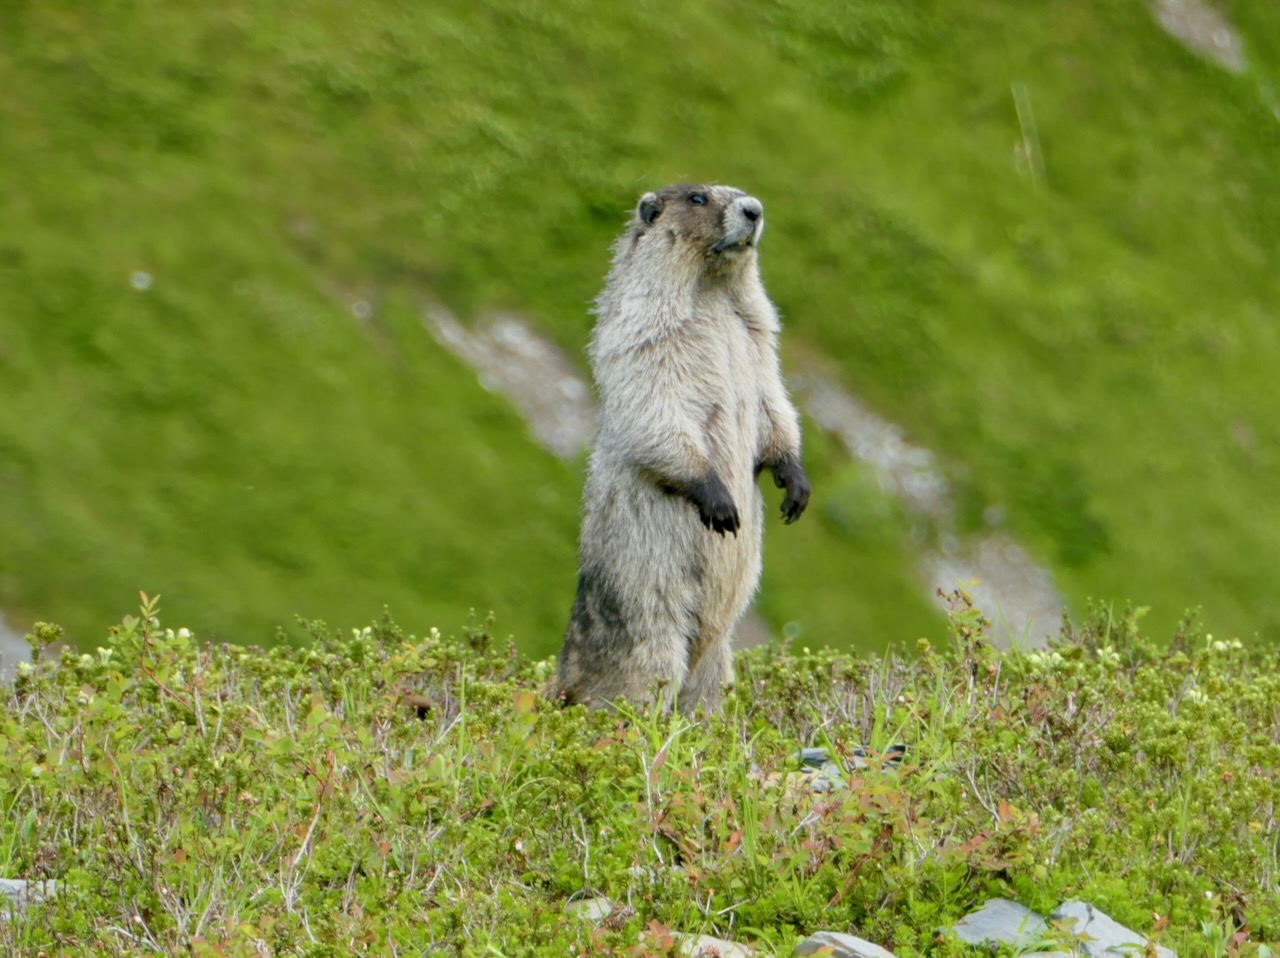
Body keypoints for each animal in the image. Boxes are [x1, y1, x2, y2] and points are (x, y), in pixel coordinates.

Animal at [555, 184, 810, 714]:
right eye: (697, 197)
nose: (755, 209)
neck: (713, 290)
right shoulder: (642, 330)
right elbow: (654, 401)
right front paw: (719, 500)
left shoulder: (761, 337)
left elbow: (772, 400)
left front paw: (795, 481)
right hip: (651, 616)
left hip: (717, 656)